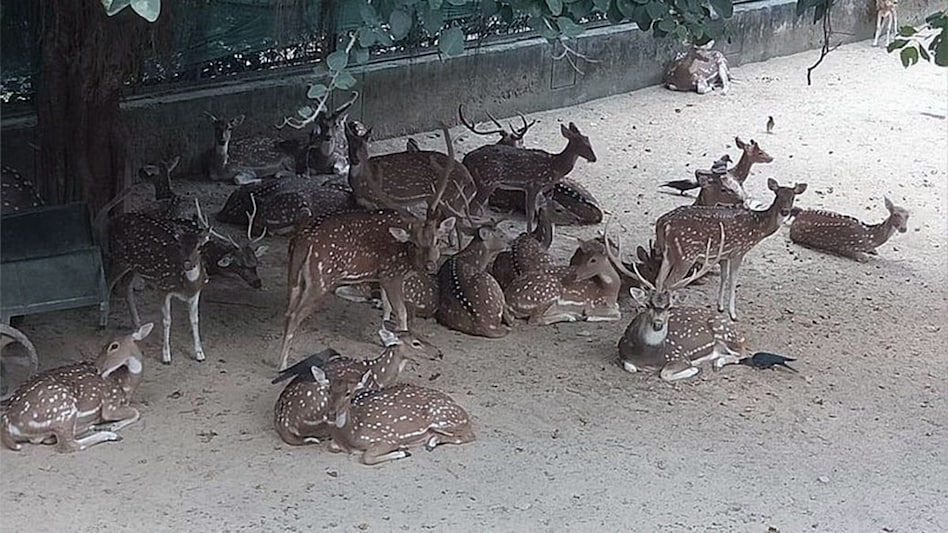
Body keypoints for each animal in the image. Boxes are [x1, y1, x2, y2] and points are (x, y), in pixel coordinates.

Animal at [1, 323, 153, 452]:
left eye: (114, 346)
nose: (96, 368)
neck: (126, 385)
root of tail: (8, 422)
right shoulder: (110, 403)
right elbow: (136, 413)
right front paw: (113, 425)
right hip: (63, 410)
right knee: (68, 445)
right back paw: (109, 434)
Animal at [277, 125, 458, 370]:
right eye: (414, 242)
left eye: (437, 239)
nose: (430, 265)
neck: (406, 259)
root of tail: (303, 242)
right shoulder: (392, 273)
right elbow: (400, 312)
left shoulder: (381, 274)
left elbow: (387, 306)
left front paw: (384, 336)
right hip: (321, 279)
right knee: (294, 315)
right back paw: (282, 363)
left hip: (294, 277)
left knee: (287, 310)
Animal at [328, 371, 475, 466]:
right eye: (328, 391)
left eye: (348, 393)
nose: (331, 413)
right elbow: (332, 447)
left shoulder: (387, 439)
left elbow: (367, 457)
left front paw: (402, 453)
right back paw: (431, 441)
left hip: (442, 418)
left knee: (469, 436)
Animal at [462, 121, 597, 233]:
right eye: (582, 143)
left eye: (588, 140)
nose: (594, 158)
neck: (554, 166)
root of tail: (466, 159)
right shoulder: (534, 185)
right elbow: (531, 213)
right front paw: (529, 234)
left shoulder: (530, 189)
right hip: (487, 182)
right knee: (472, 207)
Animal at [655, 178, 808, 321]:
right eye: (777, 195)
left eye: (793, 197)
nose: (785, 211)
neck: (758, 228)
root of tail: (663, 223)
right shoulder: (739, 250)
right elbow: (733, 280)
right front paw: (733, 313)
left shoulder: (723, 255)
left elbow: (724, 277)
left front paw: (720, 306)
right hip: (686, 255)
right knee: (669, 283)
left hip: (669, 254)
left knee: (658, 280)